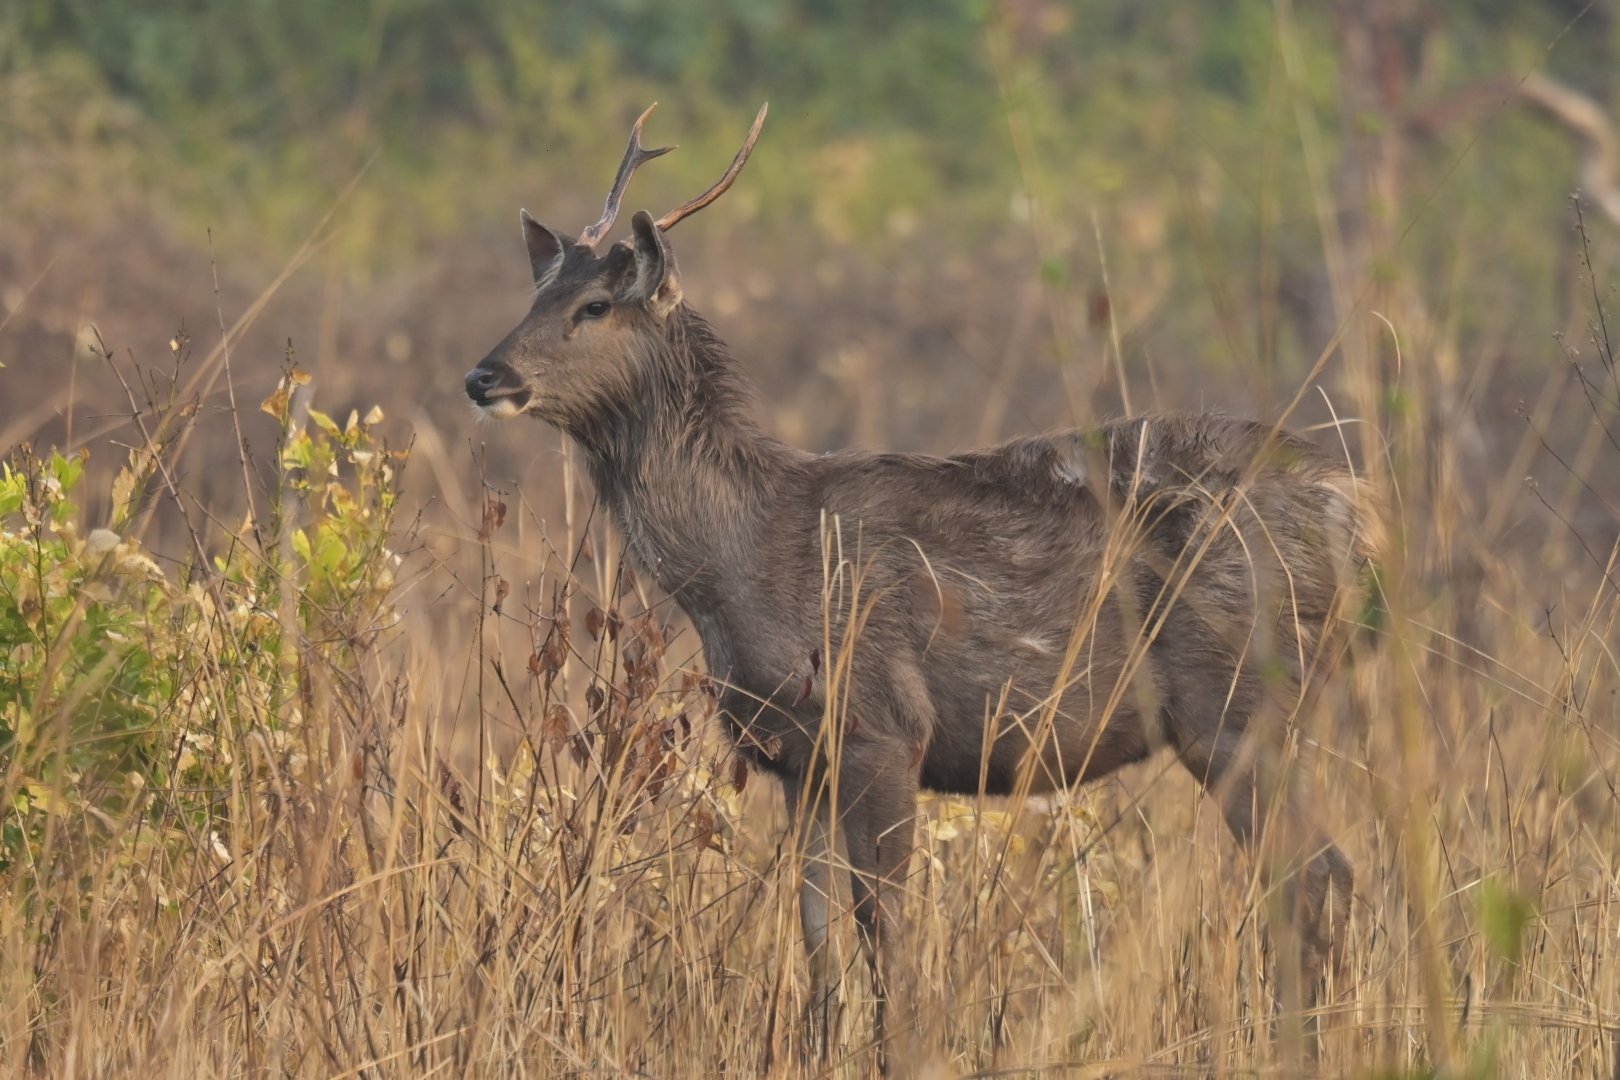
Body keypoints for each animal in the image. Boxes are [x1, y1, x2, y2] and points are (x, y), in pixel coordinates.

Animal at [465, 103, 1380, 1062]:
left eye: (595, 305)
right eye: (535, 295)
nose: (483, 376)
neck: (738, 565)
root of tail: (1358, 513)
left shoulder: (884, 727)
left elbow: (887, 930)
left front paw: (898, 1049)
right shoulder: (800, 759)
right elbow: (818, 940)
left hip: (1235, 698)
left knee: (1320, 880)